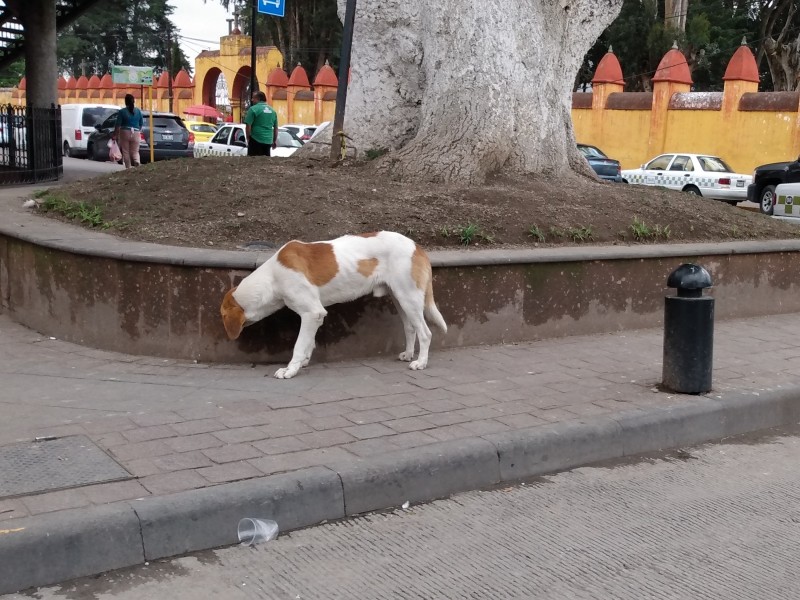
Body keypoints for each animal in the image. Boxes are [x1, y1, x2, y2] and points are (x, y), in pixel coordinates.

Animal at [222, 231, 446, 378]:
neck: (273, 277)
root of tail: (416, 246)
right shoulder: (315, 316)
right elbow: (308, 342)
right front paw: (303, 362)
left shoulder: (312, 313)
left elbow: (299, 345)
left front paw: (290, 369)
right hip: (401, 299)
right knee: (410, 328)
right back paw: (408, 354)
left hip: (409, 298)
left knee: (425, 333)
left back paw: (421, 362)